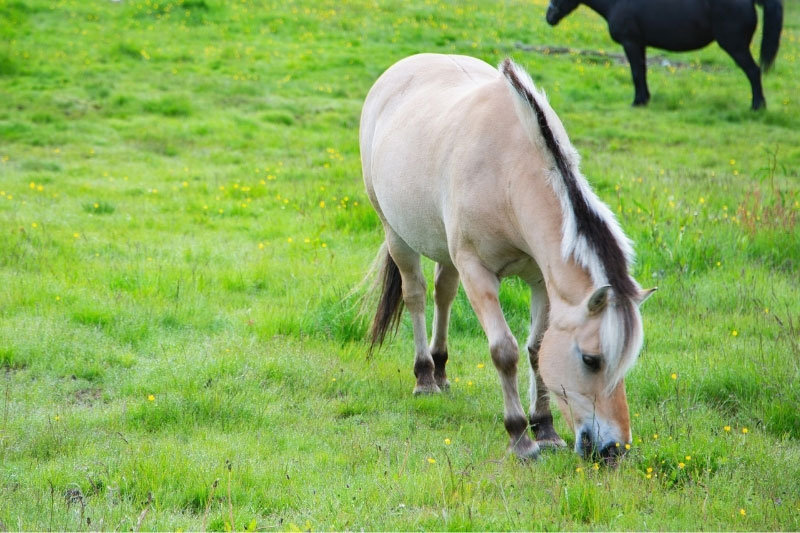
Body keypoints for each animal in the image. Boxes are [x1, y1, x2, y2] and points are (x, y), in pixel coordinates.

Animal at [360, 53, 655, 460]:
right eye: (590, 360)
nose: (614, 448)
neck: (508, 174)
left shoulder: (541, 280)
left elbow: (536, 349)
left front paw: (545, 428)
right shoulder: (477, 272)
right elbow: (505, 351)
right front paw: (520, 436)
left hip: (445, 251)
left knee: (443, 293)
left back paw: (441, 370)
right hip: (396, 234)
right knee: (416, 295)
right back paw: (424, 377)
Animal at [545, 0, 783, 109]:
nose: (549, 16)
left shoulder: (631, 43)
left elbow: (636, 73)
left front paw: (638, 102)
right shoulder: (640, 45)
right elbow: (642, 72)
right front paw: (645, 99)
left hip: (735, 47)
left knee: (753, 72)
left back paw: (757, 106)